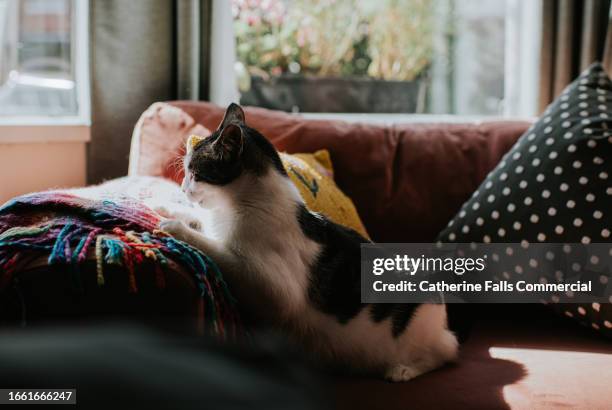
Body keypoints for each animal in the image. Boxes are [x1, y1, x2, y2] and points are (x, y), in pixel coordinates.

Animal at [160, 102, 456, 382]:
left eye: (194, 173)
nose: (183, 189)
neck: (236, 208)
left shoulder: (273, 289)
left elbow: (217, 250)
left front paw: (174, 227)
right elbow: (199, 219)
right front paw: (165, 207)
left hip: (420, 336)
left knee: (447, 352)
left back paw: (403, 369)